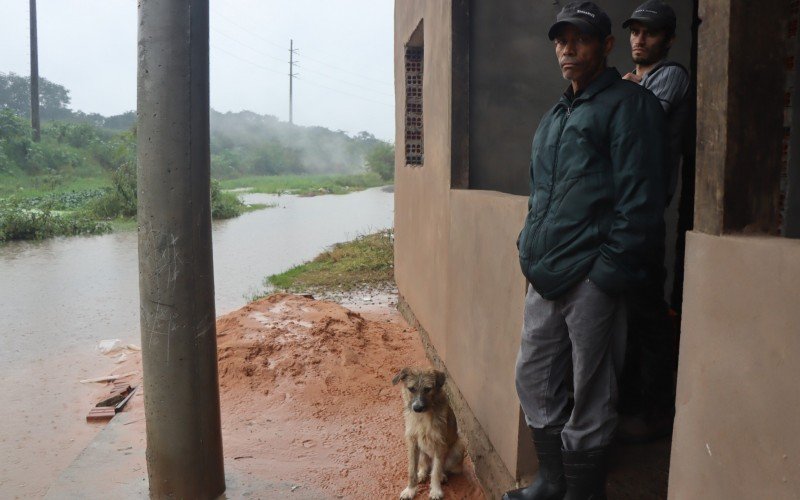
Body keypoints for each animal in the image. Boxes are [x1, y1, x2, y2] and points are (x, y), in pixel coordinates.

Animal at [392, 366, 466, 498]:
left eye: (427, 389)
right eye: (411, 389)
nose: (417, 408)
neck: (422, 417)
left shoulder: (440, 444)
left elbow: (436, 471)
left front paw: (436, 491)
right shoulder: (413, 442)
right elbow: (412, 470)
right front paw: (410, 489)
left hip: (459, 447)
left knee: (440, 468)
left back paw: (442, 476)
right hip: (422, 451)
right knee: (425, 465)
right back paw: (421, 473)